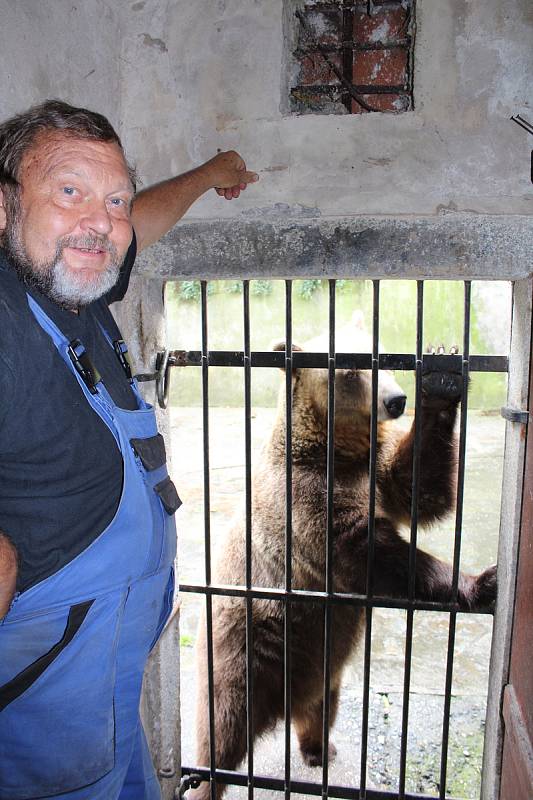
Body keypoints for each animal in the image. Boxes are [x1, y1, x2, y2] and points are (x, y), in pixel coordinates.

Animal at [191, 316, 494, 796]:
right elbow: (371, 554)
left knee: (319, 709)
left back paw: (320, 749)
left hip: (323, 666)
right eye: (351, 371)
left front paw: (442, 376)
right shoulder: (306, 503)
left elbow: (421, 487)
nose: (396, 400)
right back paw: (207, 779)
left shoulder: (377, 474)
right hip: (245, 647)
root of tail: (286, 701)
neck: (334, 450)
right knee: (223, 724)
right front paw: (480, 582)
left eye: (381, 356)